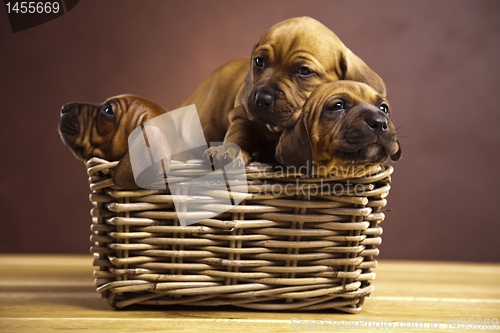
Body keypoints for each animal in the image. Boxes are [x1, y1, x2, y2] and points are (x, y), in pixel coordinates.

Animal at [178, 16, 384, 165]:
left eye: (304, 71)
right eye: (259, 61)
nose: (262, 98)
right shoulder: (243, 117)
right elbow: (238, 134)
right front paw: (227, 149)